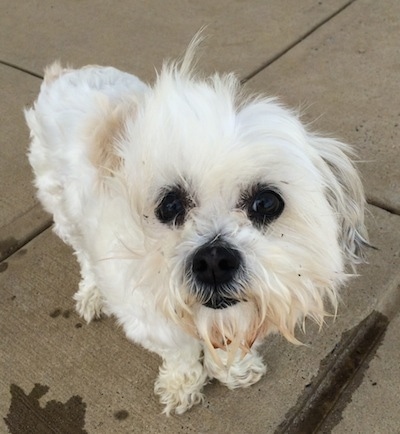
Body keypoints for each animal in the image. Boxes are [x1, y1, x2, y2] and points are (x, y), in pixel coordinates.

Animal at [25, 39, 368, 414]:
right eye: (170, 205)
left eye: (266, 203)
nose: (214, 261)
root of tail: (66, 73)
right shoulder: (148, 317)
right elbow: (180, 352)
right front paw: (181, 384)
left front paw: (235, 369)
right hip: (62, 208)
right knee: (84, 255)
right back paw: (92, 292)